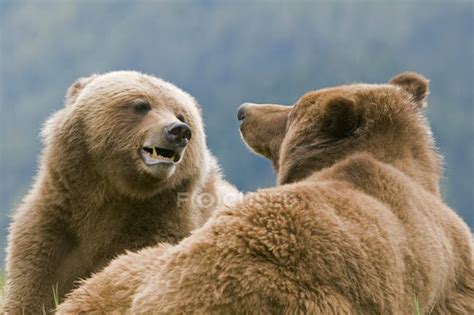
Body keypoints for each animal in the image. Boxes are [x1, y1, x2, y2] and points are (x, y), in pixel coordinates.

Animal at [2, 70, 241, 314]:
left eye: (182, 115)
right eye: (141, 105)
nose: (179, 130)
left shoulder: (153, 229)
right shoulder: (54, 227)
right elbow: (33, 288)